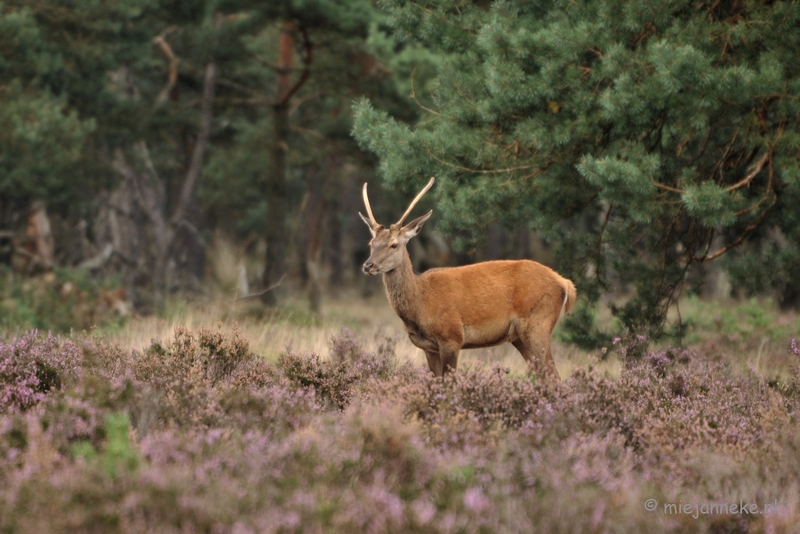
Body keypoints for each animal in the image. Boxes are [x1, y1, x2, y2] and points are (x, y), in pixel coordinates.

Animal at [360, 178, 576, 384]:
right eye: (371, 243)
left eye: (394, 245)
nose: (368, 265)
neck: (421, 303)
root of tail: (565, 283)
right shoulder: (428, 348)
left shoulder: (452, 336)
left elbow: (450, 384)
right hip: (520, 337)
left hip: (538, 324)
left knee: (555, 378)